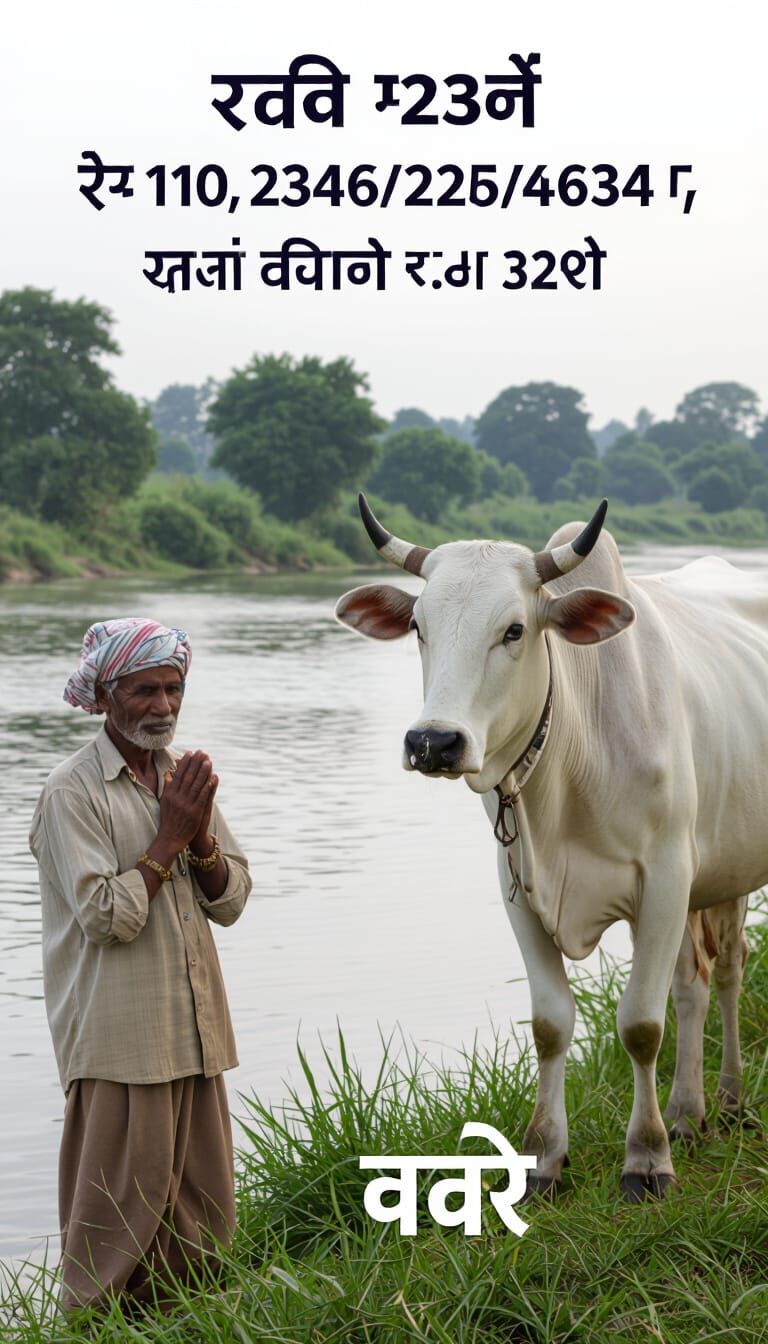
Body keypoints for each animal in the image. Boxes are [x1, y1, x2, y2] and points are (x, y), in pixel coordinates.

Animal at [335, 494, 755, 1201]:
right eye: (418, 626)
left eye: (513, 630)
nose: (433, 741)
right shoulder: (519, 891)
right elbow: (552, 1024)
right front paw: (543, 1158)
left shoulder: (665, 879)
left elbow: (641, 1025)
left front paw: (646, 1159)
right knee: (695, 984)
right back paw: (688, 1113)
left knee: (726, 972)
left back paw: (726, 1102)